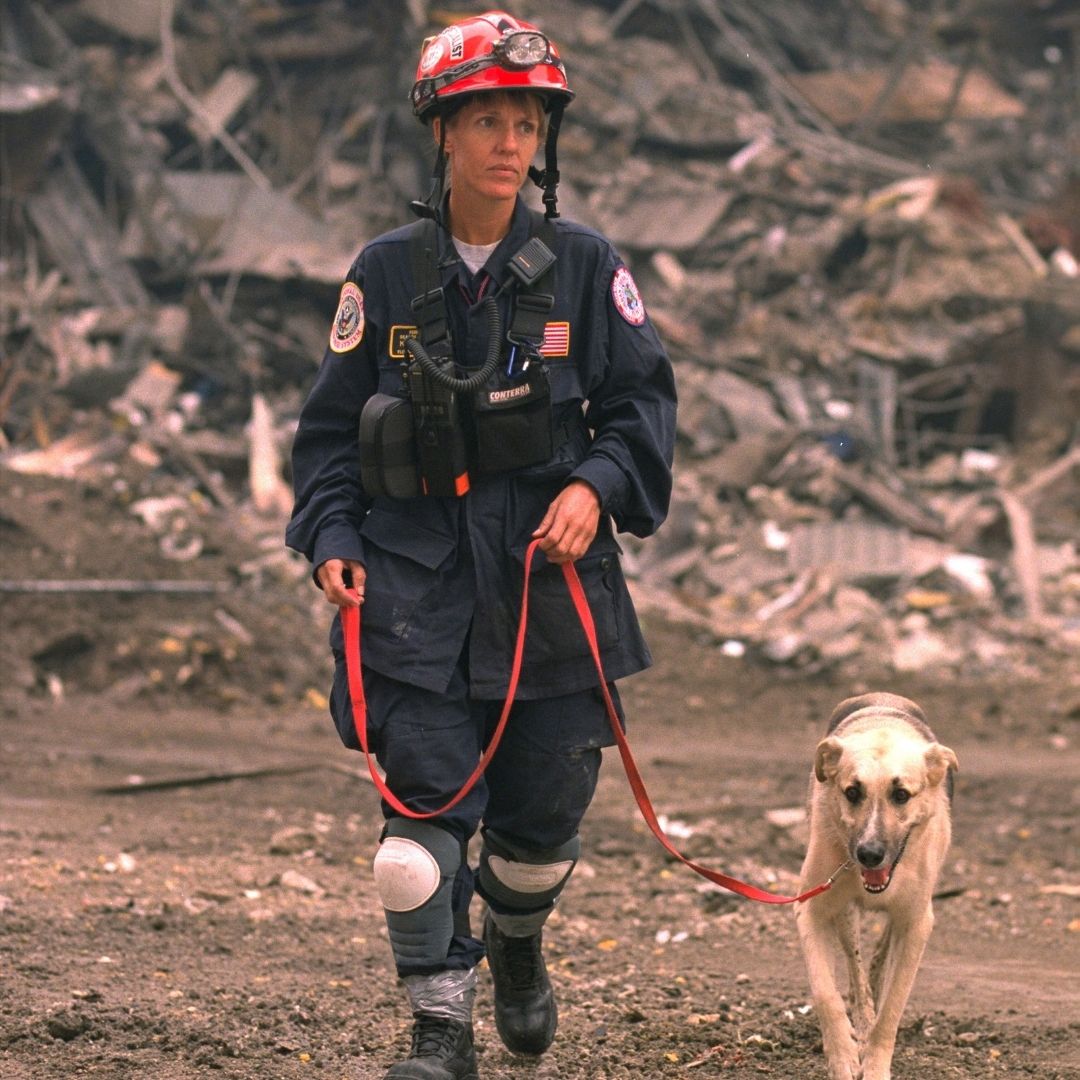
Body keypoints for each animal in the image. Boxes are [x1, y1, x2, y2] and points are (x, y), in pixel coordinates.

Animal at [794, 691, 963, 1080]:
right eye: (852, 792)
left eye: (901, 794)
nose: (869, 854)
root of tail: (882, 697)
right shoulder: (811, 909)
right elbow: (826, 994)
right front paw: (843, 1057)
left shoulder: (917, 923)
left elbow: (893, 1007)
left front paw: (874, 1064)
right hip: (844, 915)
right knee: (855, 968)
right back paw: (861, 1020)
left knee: (881, 955)